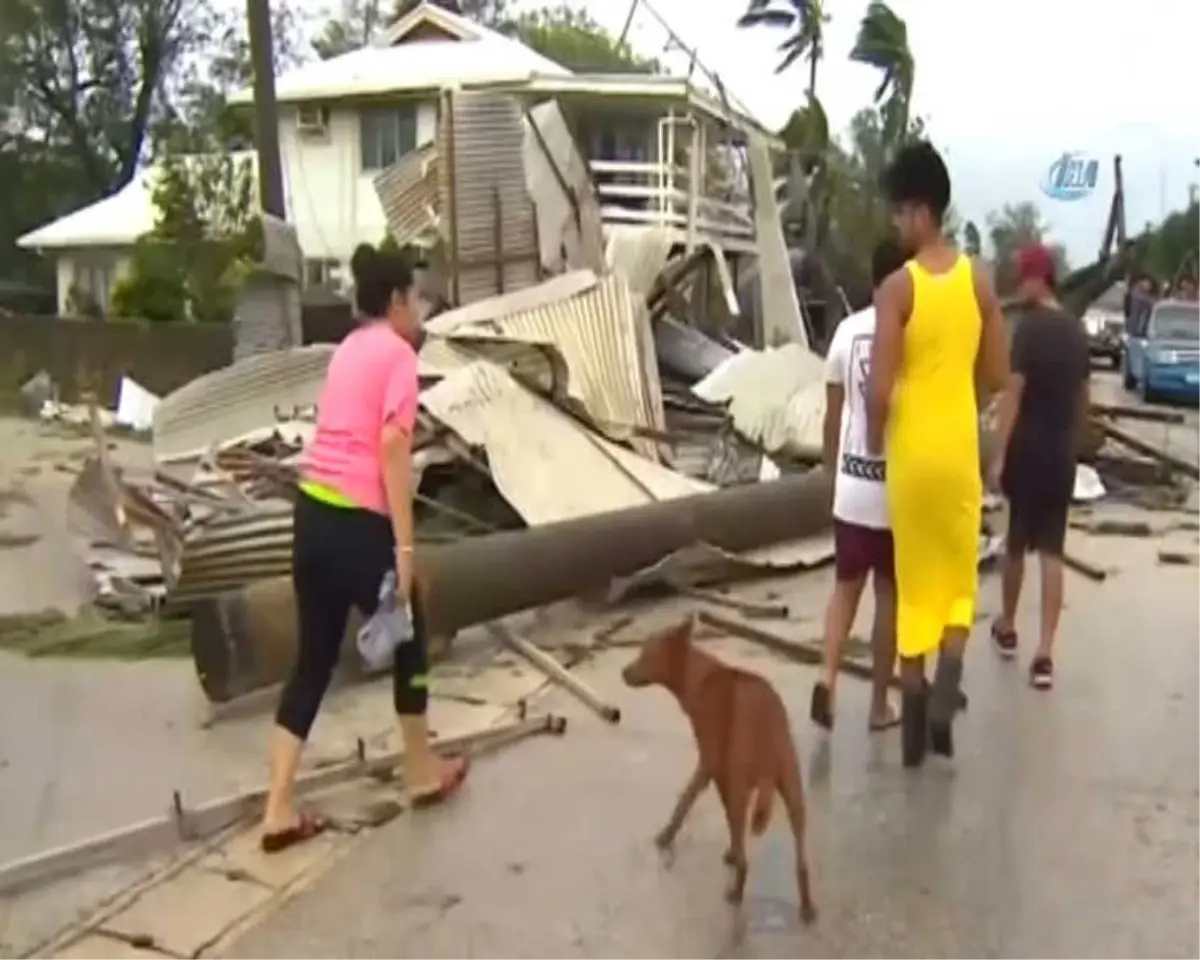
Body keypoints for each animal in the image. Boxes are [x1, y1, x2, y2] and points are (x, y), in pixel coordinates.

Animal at [619, 614, 816, 921]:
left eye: (645, 654)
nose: (623, 672)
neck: (699, 674)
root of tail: (767, 726)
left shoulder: (711, 765)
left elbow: (686, 800)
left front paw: (667, 836)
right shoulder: (723, 775)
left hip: (742, 788)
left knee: (746, 859)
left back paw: (736, 892)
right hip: (793, 789)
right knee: (802, 863)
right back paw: (807, 907)